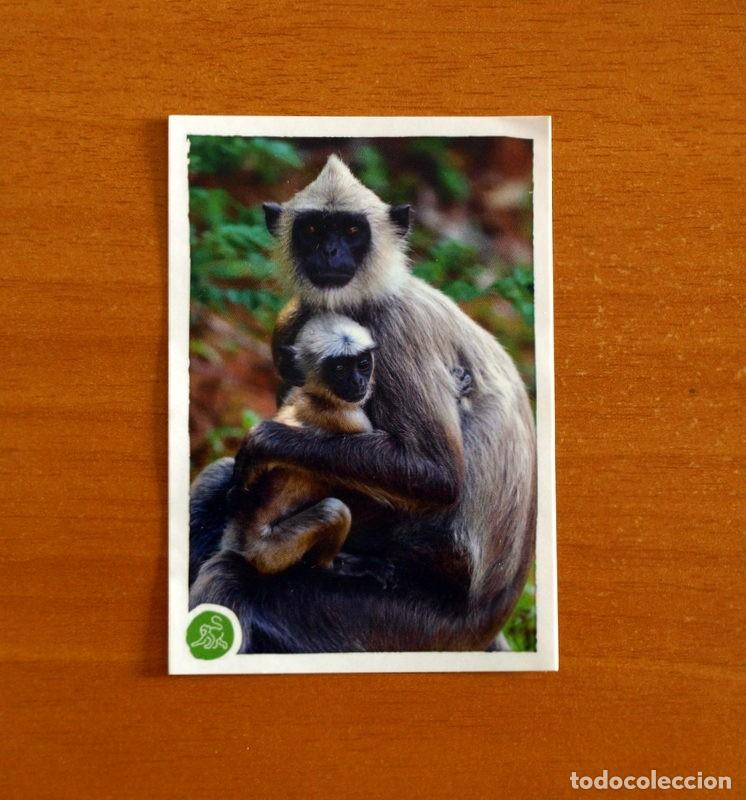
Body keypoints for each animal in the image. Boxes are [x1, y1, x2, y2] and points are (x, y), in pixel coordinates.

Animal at [189, 154, 536, 654]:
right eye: (314, 230)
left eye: (351, 231)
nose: (331, 252)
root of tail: (485, 623)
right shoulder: (291, 326)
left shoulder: (393, 329)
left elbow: (438, 474)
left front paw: (265, 440)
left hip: (403, 625)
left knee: (230, 576)